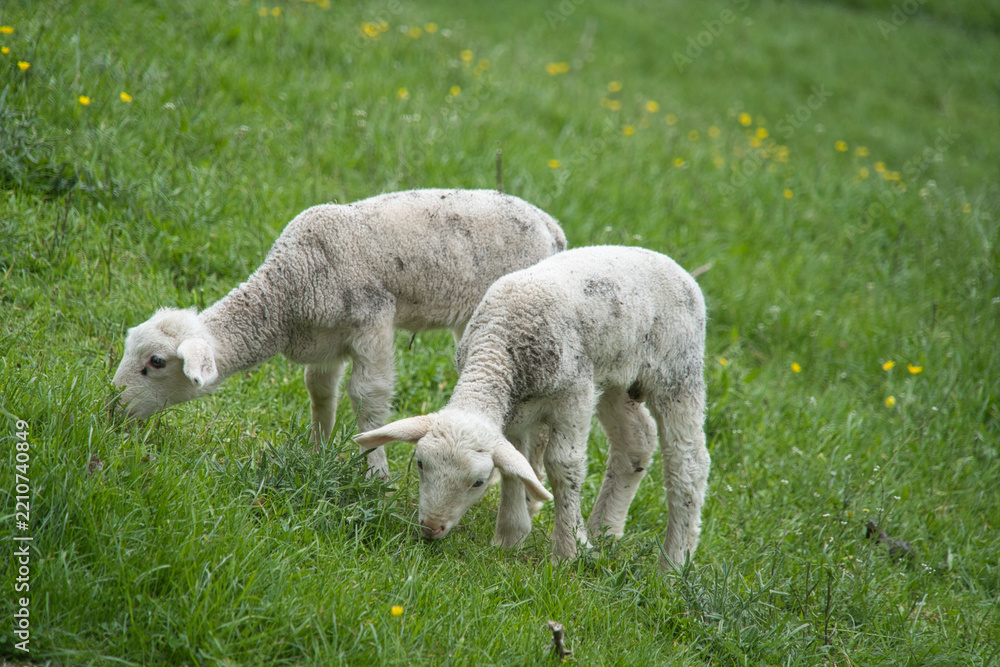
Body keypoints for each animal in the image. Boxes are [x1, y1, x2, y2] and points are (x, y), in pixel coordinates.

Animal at [112, 189, 567, 478]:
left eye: (156, 363)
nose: (112, 411)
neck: (288, 289)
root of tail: (551, 226)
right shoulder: (325, 340)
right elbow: (319, 392)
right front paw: (317, 452)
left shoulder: (374, 321)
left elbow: (369, 396)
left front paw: (375, 474)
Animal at [355, 245, 710, 569]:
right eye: (420, 464)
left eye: (478, 482)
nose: (431, 529)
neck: (499, 345)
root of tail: (669, 263)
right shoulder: (516, 411)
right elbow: (517, 463)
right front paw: (510, 537)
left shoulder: (575, 397)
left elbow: (562, 466)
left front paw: (567, 552)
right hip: (614, 378)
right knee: (635, 441)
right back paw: (604, 532)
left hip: (678, 371)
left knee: (689, 463)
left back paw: (674, 564)